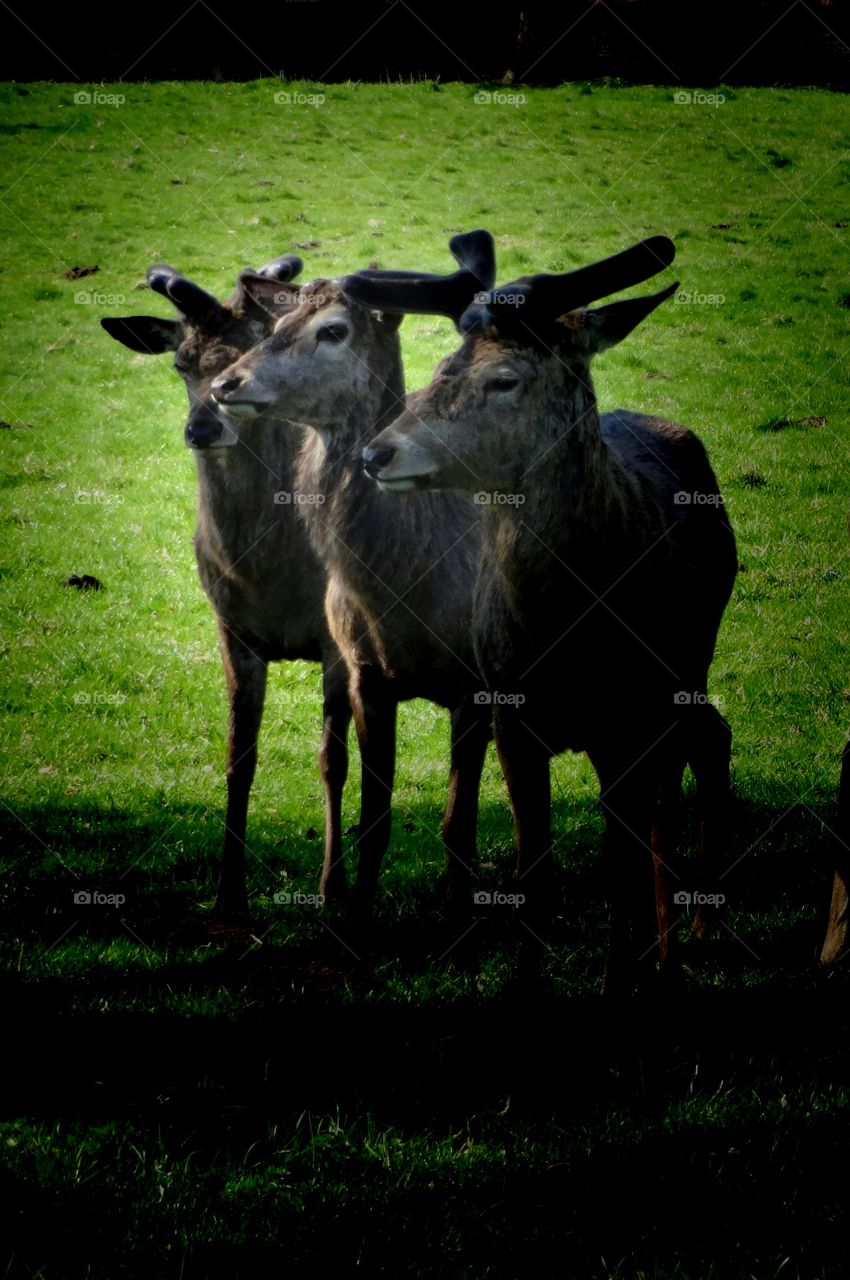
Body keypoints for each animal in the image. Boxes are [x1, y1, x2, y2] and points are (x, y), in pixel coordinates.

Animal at [101, 255, 354, 925]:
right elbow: (239, 756)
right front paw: (226, 897)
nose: (201, 428)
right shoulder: (229, 626)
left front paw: (333, 892)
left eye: (247, 353)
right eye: (181, 362)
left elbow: (333, 760)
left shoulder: (337, 639)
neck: (269, 576)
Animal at [208, 232, 498, 919]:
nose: (227, 381)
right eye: (277, 325)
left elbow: (459, 823)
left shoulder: (475, 683)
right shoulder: (366, 673)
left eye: (334, 329)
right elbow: (375, 815)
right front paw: (353, 912)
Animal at [343, 235, 738, 988]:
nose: (376, 452)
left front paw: (620, 977)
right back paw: (690, 936)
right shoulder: (509, 712)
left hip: (691, 658)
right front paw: (525, 981)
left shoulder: (626, 722)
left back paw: (688, 941)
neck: (570, 636)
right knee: (710, 737)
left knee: (682, 778)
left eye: (505, 380)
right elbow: (533, 872)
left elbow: (618, 868)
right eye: (442, 366)